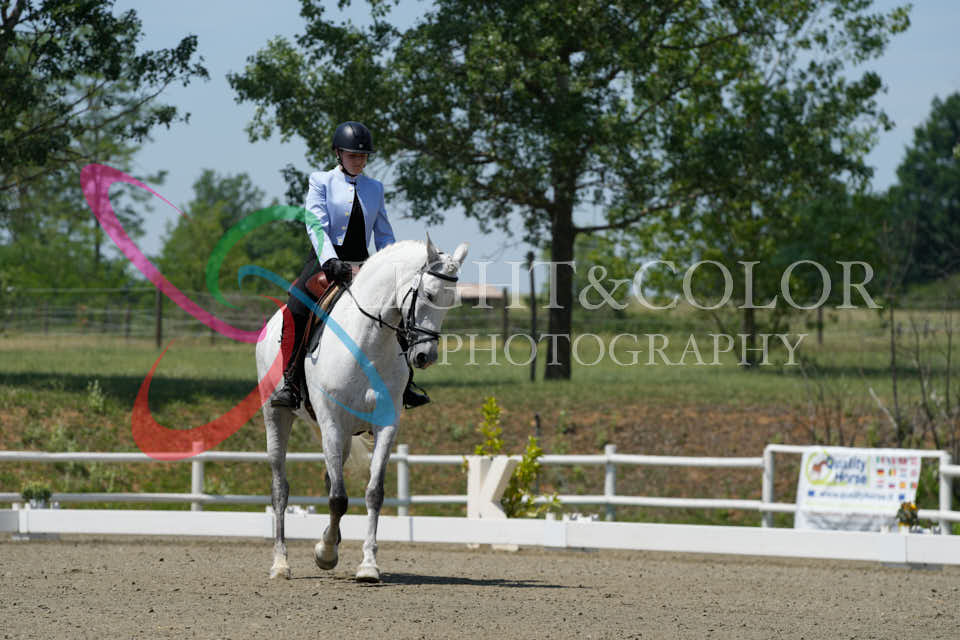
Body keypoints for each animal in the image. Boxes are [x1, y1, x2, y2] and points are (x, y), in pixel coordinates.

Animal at [255, 235, 468, 582]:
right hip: (276, 416)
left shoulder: (387, 426)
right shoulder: (331, 424)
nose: (425, 356)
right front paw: (326, 554)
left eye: (451, 302)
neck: (370, 341)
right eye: (429, 294)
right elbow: (339, 498)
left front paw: (366, 564)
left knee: (331, 478)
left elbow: (372, 493)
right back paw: (281, 563)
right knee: (280, 488)